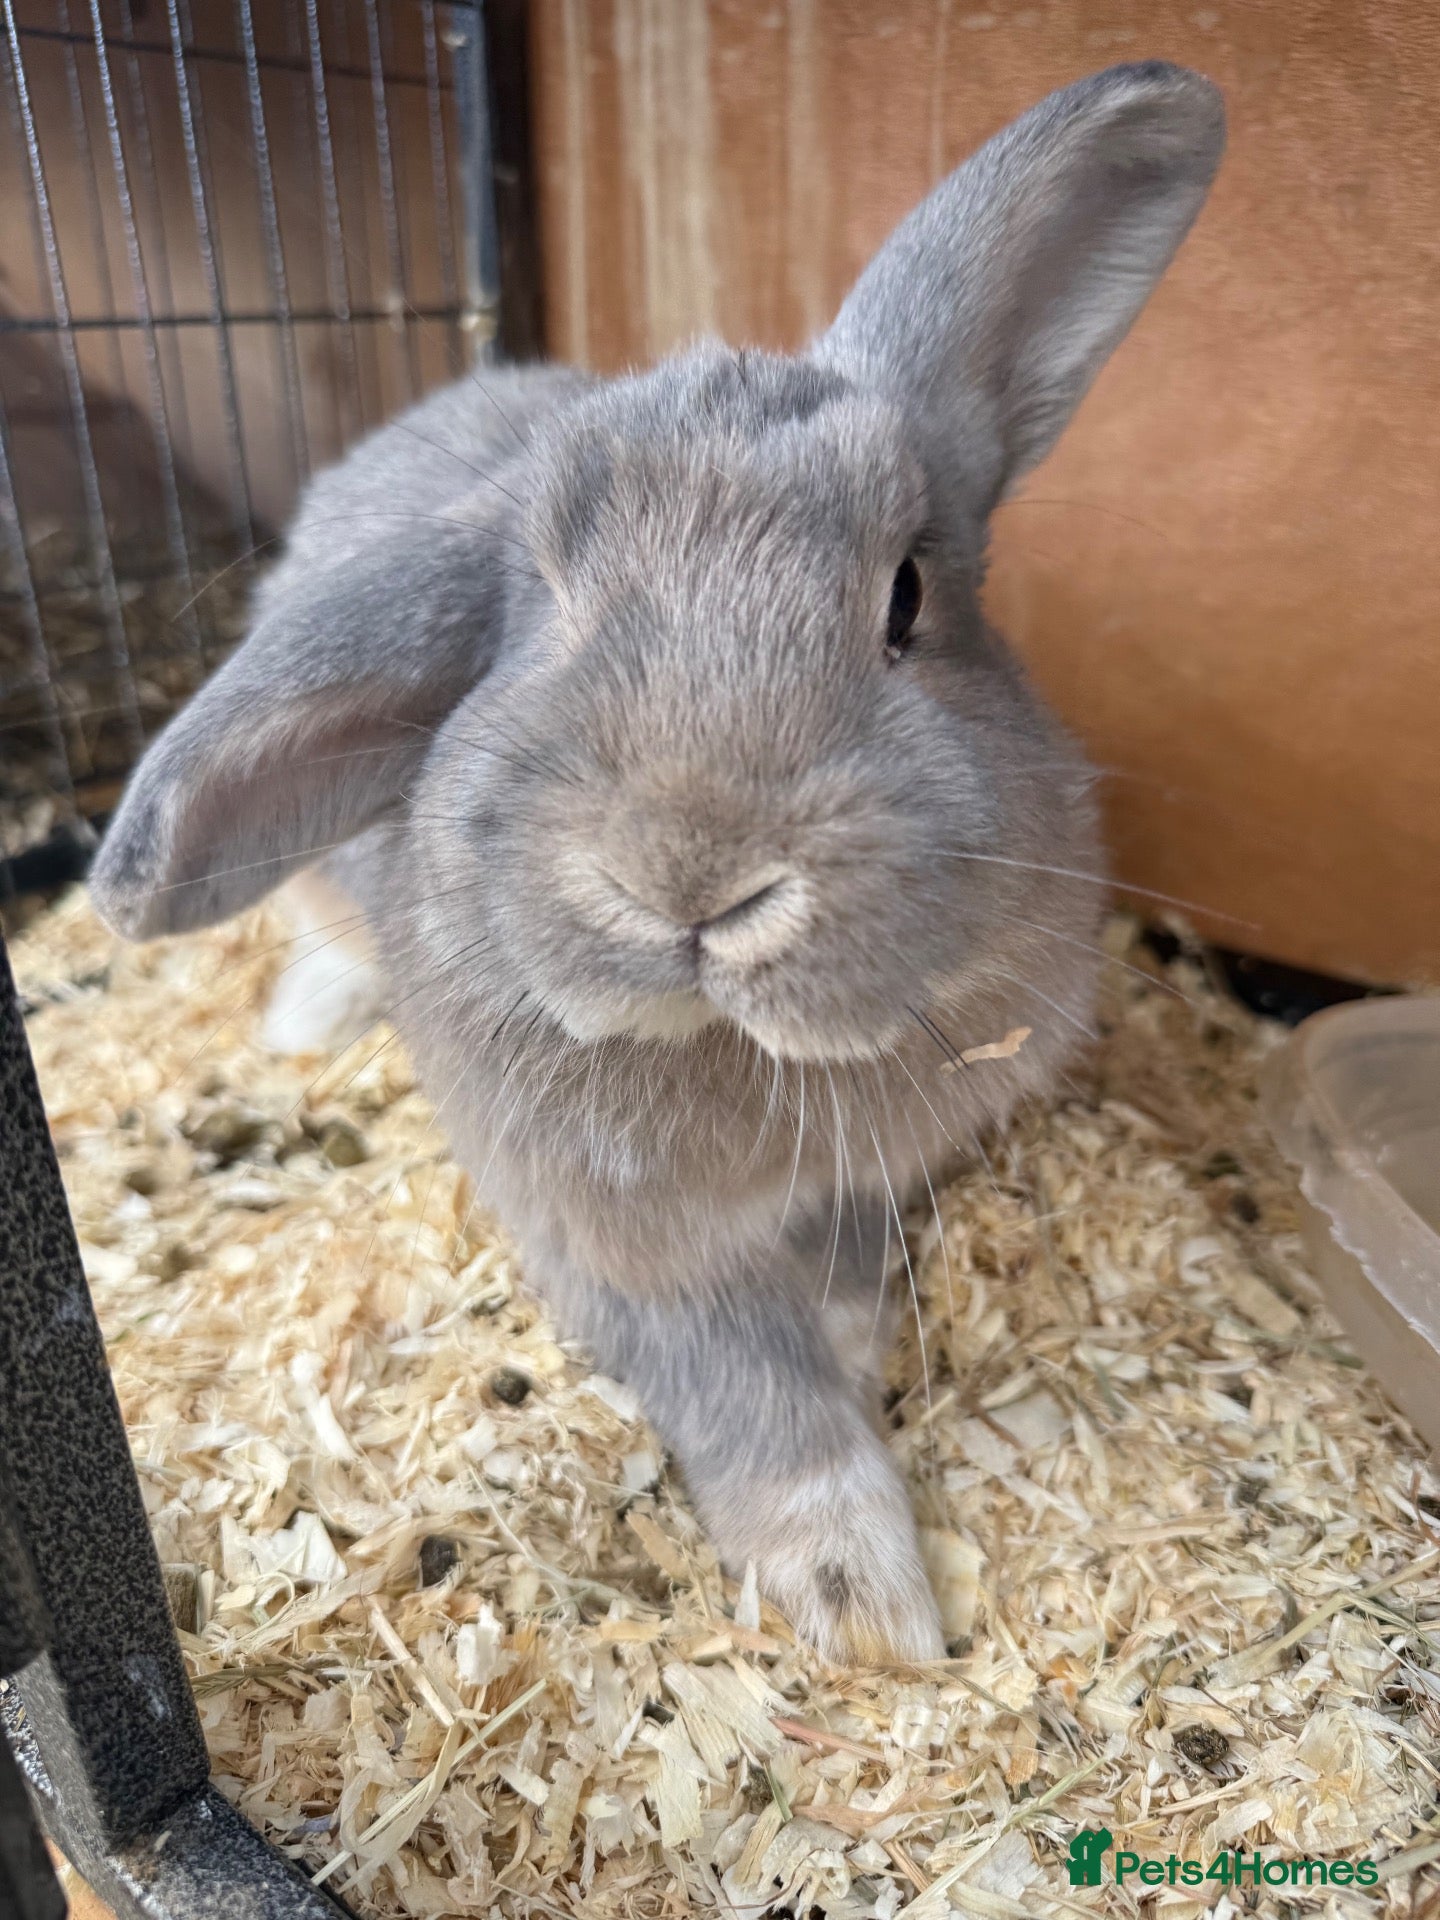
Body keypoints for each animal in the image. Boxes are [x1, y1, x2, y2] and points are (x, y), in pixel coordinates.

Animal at [90, 64, 1224, 1664]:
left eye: (908, 595)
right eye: (544, 609)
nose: (692, 879)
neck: (737, 1053)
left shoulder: (865, 1176)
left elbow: (833, 1290)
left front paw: (851, 1344)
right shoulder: (613, 1249)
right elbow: (752, 1391)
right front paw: (863, 1605)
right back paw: (312, 1018)